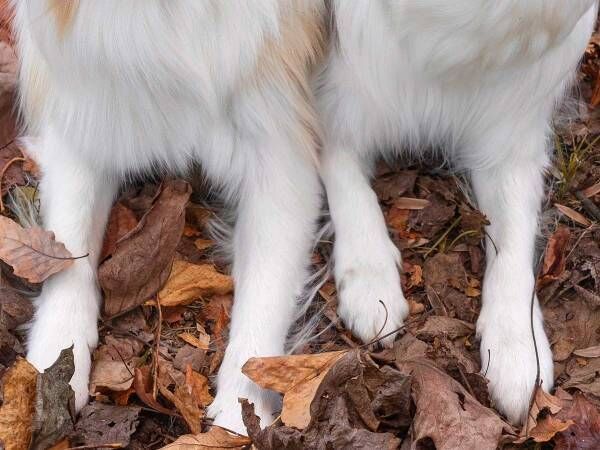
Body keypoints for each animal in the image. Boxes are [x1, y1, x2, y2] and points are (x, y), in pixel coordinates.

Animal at [11, 0, 326, 436]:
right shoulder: (86, 123)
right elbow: (69, 246)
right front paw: (54, 364)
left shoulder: (279, 153)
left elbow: (267, 288)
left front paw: (241, 408)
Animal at [316, 0, 596, 424]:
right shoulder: (336, 110)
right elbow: (350, 187)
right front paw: (369, 279)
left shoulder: (509, 147)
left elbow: (514, 249)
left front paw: (517, 350)